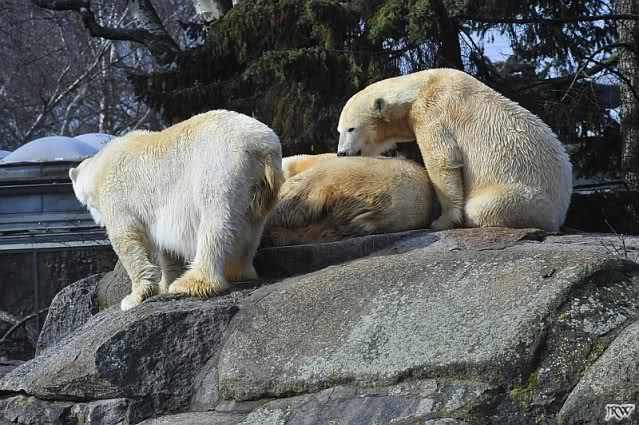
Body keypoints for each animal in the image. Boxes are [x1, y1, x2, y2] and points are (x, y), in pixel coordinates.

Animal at [69, 110, 284, 311]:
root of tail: (261, 145)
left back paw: (191, 283)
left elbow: (128, 239)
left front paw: (134, 297)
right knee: (252, 227)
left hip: (219, 167)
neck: (101, 165)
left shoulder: (118, 195)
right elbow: (167, 248)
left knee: (215, 224)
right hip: (260, 186)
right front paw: (165, 284)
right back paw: (239, 271)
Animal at [336, 68, 573, 232]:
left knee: (482, 207)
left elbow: (441, 161)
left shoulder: (434, 111)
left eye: (351, 128)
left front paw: (441, 221)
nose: (341, 153)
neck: (421, 87)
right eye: (339, 130)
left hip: (524, 195)